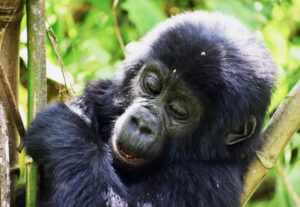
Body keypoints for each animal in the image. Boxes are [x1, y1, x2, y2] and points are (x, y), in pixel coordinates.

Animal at [25, 11, 276, 207]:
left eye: (178, 110)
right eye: (152, 85)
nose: (142, 124)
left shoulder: (209, 181)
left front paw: (62, 129)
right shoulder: (100, 95)